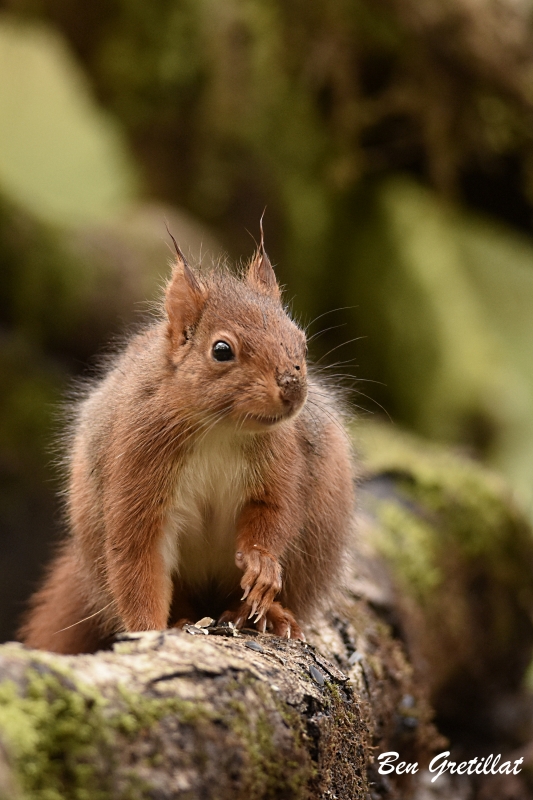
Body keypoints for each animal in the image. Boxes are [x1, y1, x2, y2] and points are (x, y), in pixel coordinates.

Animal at [18, 230, 356, 648]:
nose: (293, 387)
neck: (220, 430)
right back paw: (185, 619)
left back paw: (265, 615)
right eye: (222, 350)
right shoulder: (137, 466)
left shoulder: (282, 461)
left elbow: (275, 512)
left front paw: (261, 564)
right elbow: (137, 558)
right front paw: (149, 630)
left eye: (302, 343)